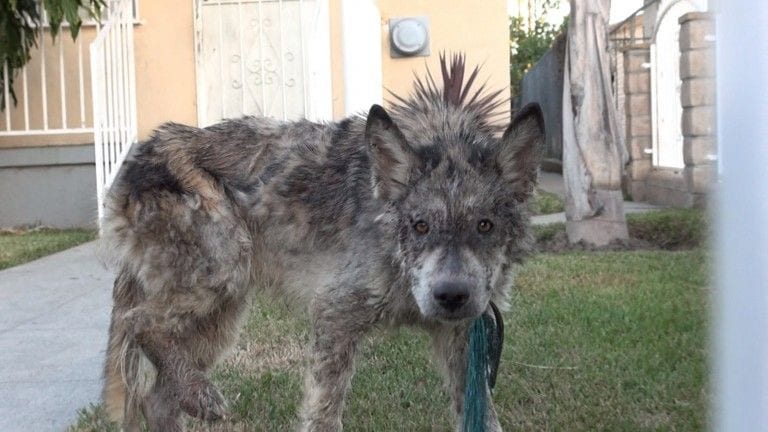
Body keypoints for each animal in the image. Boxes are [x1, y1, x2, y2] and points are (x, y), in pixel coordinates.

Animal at [100, 54, 544, 431]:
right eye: (420, 226)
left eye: (485, 226)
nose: (450, 295)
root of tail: (138, 156)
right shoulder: (335, 316)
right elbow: (323, 414)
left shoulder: (463, 337)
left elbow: (484, 418)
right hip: (222, 272)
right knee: (137, 322)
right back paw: (201, 394)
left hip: (222, 316)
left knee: (157, 395)